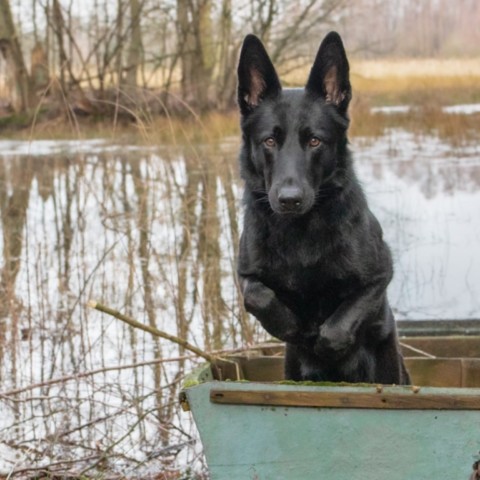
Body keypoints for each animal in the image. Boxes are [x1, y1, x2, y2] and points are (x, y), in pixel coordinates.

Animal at [236, 31, 410, 385]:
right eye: (269, 141)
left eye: (315, 141)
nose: (290, 199)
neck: (300, 231)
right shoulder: (244, 273)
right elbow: (256, 295)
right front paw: (292, 327)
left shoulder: (379, 274)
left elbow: (341, 321)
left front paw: (327, 342)